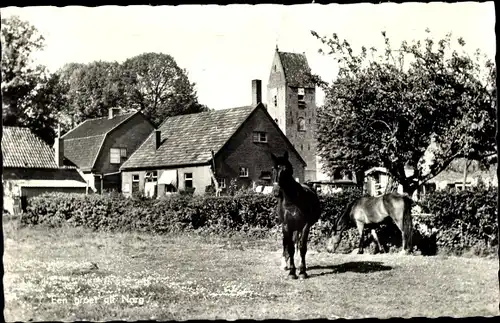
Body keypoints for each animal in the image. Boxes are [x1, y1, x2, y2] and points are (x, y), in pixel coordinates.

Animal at [272, 151, 322, 280]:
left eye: (286, 169)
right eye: (273, 169)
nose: (276, 191)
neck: (292, 202)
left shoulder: (305, 226)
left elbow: (302, 247)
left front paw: (302, 271)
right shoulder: (286, 226)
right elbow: (290, 248)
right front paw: (291, 272)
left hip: (298, 228)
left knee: (298, 243)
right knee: (287, 243)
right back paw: (285, 265)